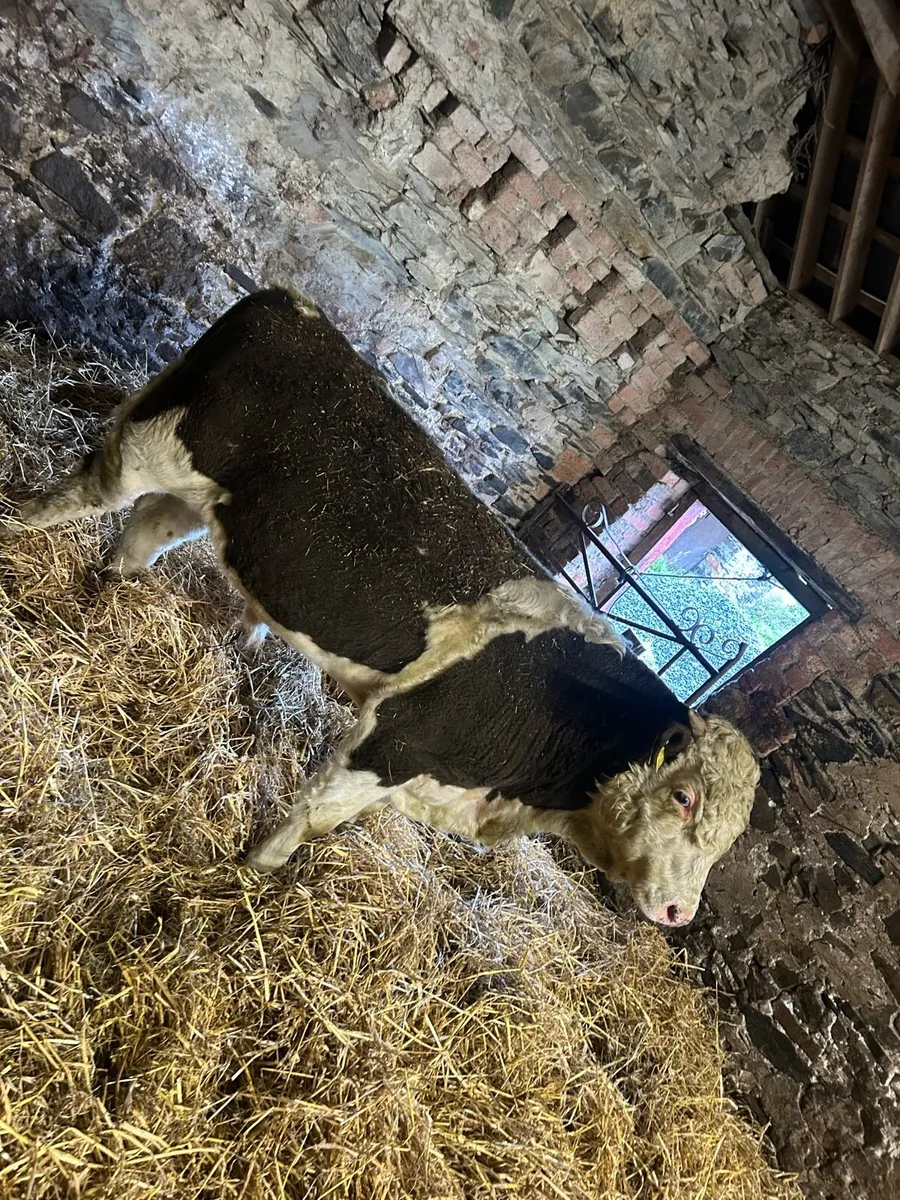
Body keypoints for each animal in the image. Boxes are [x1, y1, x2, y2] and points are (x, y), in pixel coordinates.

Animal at [8, 287, 760, 927]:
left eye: (726, 842)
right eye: (683, 796)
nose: (680, 912)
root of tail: (294, 304)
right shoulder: (396, 738)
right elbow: (316, 817)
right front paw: (252, 872)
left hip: (202, 497)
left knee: (143, 534)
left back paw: (103, 596)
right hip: (144, 445)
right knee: (73, 499)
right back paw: (19, 538)